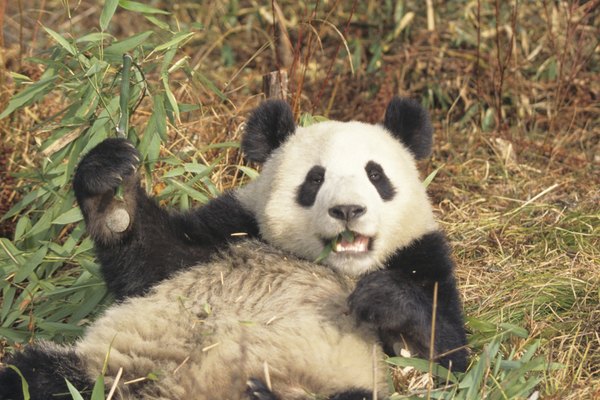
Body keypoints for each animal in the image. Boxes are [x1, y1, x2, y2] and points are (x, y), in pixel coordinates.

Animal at [0, 97, 468, 400]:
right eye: (315, 179)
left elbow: (446, 357)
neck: (336, 267)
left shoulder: (423, 255)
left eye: (376, 175)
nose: (348, 209)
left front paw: (382, 297)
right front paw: (109, 187)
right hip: (108, 370)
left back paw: (266, 394)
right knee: (32, 378)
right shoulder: (230, 232)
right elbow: (150, 260)